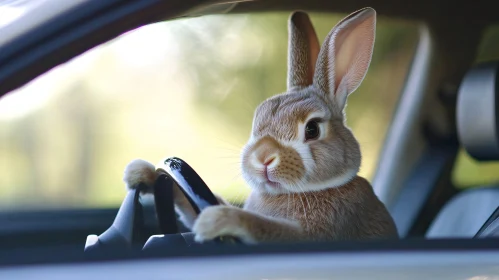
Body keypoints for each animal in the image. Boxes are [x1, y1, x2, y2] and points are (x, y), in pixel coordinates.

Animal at [124, 7, 398, 244]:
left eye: (312, 129)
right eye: (256, 123)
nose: (263, 158)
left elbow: (269, 228)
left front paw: (218, 220)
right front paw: (142, 173)